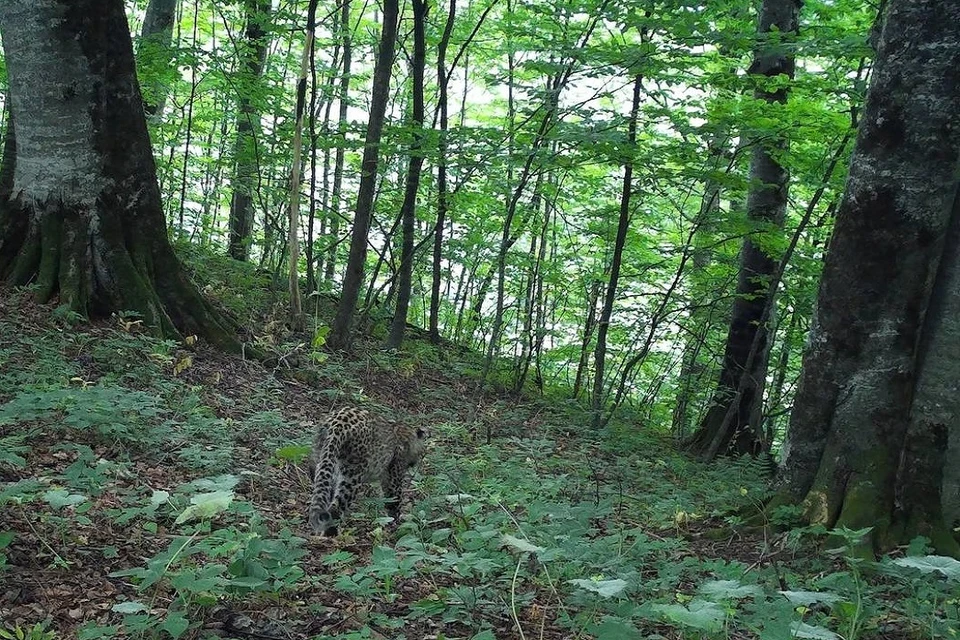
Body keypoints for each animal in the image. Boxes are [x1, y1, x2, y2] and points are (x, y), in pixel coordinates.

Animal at [308, 404, 428, 536]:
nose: (415, 463)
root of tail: (338, 422)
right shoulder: (394, 476)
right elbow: (394, 500)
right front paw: (396, 523)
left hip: (321, 460)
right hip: (352, 475)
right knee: (336, 507)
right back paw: (331, 532)